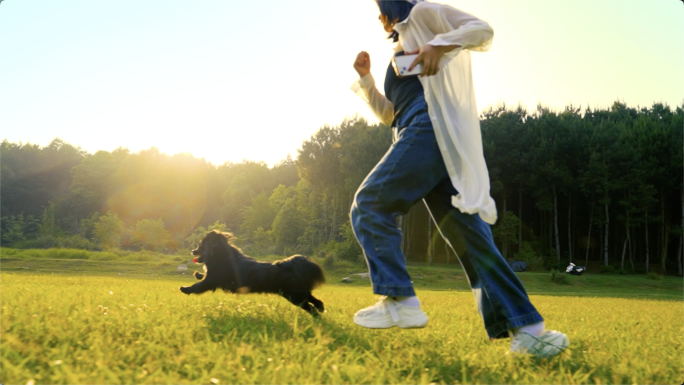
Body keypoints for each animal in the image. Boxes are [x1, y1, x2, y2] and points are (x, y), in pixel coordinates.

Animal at [178, 231, 324, 316]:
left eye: (200, 245)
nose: (192, 250)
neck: (220, 255)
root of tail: (292, 266)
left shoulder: (212, 279)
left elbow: (198, 286)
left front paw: (185, 289)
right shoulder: (212, 277)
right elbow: (201, 277)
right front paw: (197, 274)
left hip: (294, 296)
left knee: (311, 307)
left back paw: (317, 319)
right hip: (298, 293)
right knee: (316, 301)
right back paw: (321, 309)